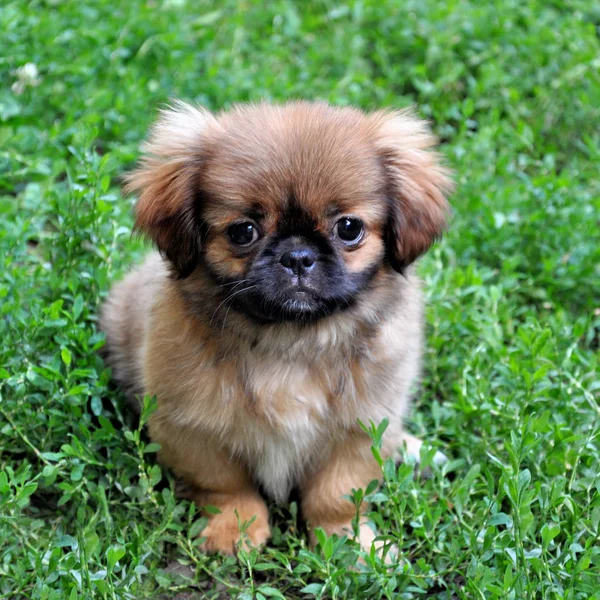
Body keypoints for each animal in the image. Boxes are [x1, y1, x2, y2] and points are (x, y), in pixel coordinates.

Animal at [101, 101, 452, 556]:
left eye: (349, 228)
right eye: (243, 231)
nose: (297, 256)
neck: (291, 342)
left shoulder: (360, 430)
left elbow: (336, 496)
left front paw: (348, 543)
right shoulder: (192, 428)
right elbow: (225, 486)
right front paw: (234, 528)